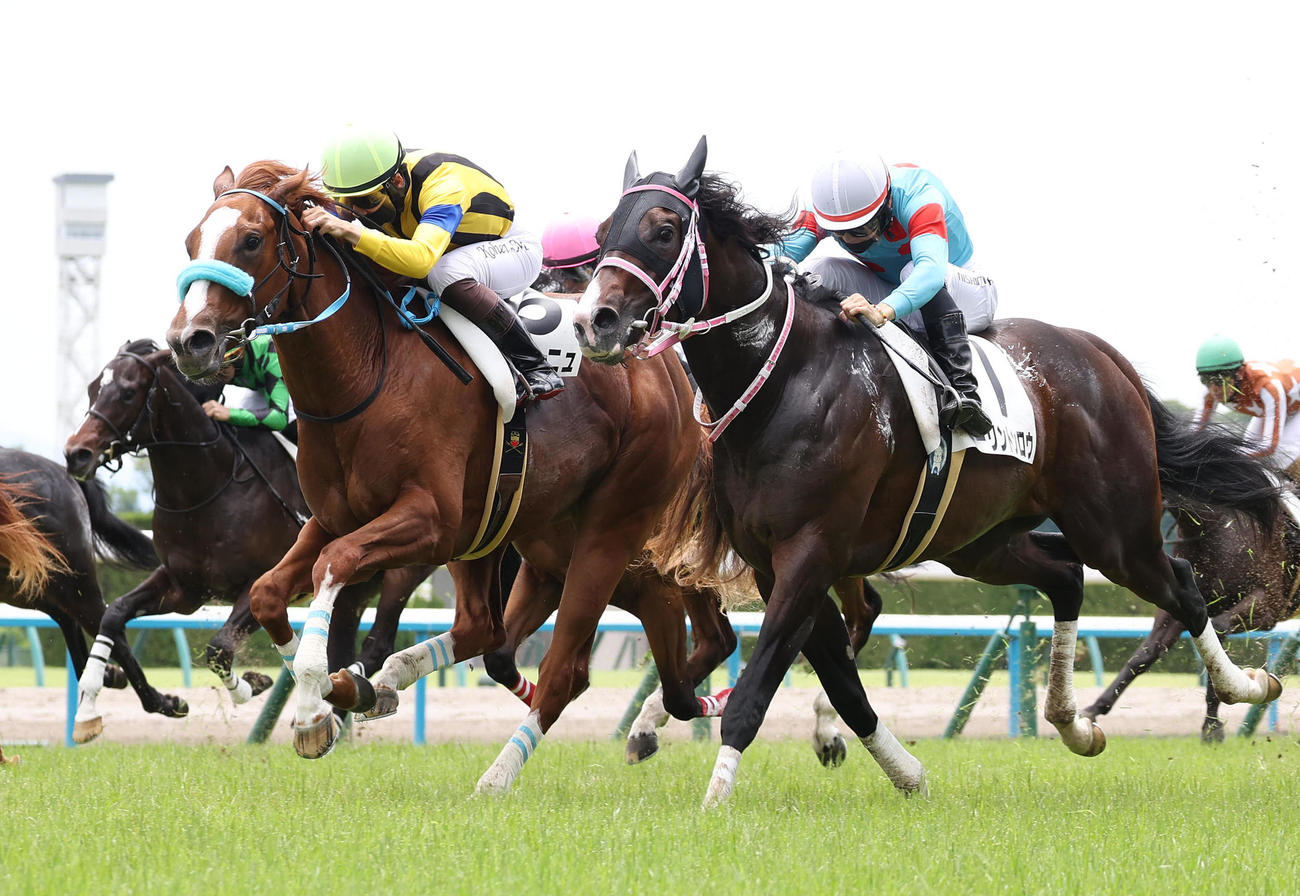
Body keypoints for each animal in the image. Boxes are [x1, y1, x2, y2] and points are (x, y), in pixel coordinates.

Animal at [1, 448, 158, 691]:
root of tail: (64, 473)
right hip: (26, 583)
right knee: (68, 619)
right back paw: (111, 674)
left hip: (71, 580)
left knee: (107, 629)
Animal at [63, 339, 433, 743]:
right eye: (92, 389)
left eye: (128, 392)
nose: (76, 453)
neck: (207, 488)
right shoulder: (184, 587)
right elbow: (114, 614)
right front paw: (122, 705)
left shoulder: (255, 582)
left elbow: (219, 647)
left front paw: (251, 684)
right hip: (352, 592)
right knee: (344, 643)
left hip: (402, 571)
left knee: (378, 642)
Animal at [162, 161, 757, 790]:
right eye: (192, 242)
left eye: (251, 240)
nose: (189, 341)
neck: (367, 375)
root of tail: (665, 368)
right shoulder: (335, 516)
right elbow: (268, 591)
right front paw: (334, 692)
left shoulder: (429, 520)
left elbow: (333, 565)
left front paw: (310, 712)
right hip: (512, 532)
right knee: (485, 629)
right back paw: (385, 686)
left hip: (609, 529)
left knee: (565, 667)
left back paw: (498, 775)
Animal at [1081, 492, 1300, 740]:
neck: (1214, 528)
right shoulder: (1181, 605)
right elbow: (1143, 656)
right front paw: (1093, 710)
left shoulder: (1267, 606)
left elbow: (1218, 634)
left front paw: (1212, 726)